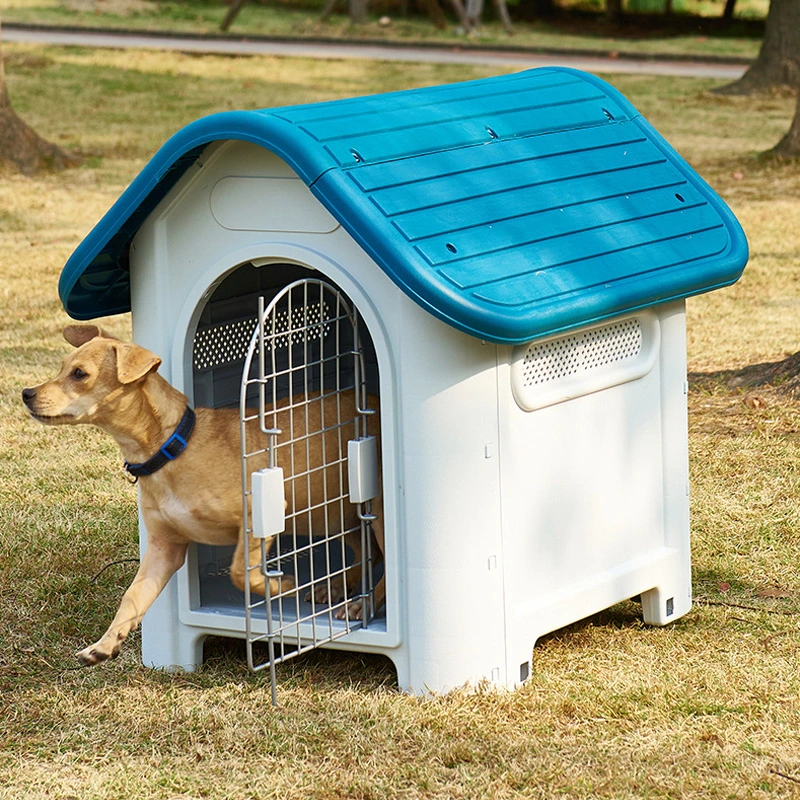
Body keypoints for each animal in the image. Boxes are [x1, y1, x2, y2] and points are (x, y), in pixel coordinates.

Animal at [21, 322, 384, 664]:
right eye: (62, 367)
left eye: (79, 373)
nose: (26, 392)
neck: (172, 449)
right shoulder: (164, 549)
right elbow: (133, 597)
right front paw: (105, 644)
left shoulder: (259, 516)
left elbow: (240, 572)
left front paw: (280, 586)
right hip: (334, 515)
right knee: (370, 553)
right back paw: (339, 585)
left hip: (373, 511)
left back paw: (363, 606)